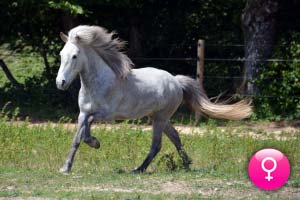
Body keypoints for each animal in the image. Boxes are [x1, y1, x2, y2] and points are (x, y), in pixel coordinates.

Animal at [55, 25, 251, 173]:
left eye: (74, 56)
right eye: (61, 54)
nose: (60, 83)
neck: (99, 83)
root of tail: (176, 81)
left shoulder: (107, 115)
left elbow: (87, 128)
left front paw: (95, 143)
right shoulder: (82, 113)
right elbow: (77, 138)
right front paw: (66, 168)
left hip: (160, 118)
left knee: (157, 145)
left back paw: (138, 169)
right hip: (158, 117)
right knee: (175, 137)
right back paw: (187, 164)